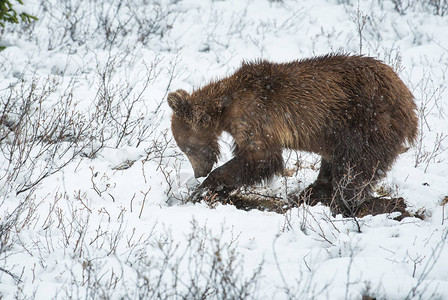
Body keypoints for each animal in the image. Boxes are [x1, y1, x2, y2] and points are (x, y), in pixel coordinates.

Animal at [166, 54, 418, 216]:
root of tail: (408, 98)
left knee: (353, 170)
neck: (224, 110)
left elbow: (261, 157)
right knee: (334, 166)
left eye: (187, 148)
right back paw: (309, 194)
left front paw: (204, 189)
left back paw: (369, 205)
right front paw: (214, 191)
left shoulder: (255, 117)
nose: (199, 171)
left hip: (366, 121)